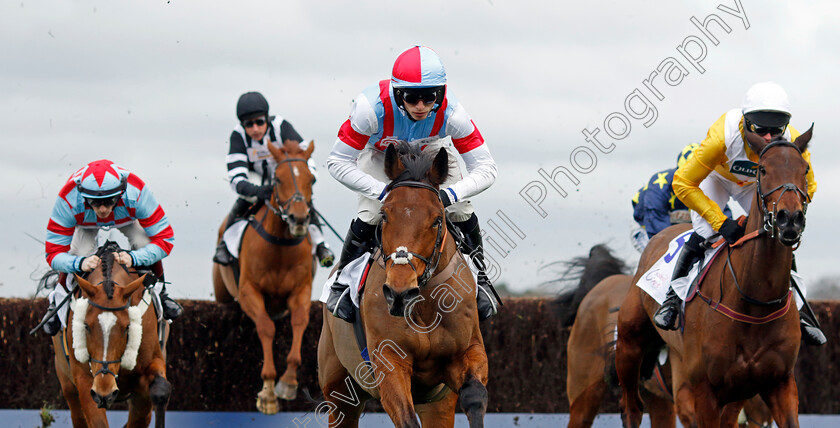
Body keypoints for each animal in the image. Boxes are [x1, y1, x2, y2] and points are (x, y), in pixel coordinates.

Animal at [52, 241, 171, 428]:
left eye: (127, 327)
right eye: (86, 326)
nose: (105, 391)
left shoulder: (149, 368)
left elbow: (160, 391)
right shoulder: (85, 380)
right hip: (66, 381)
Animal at [212, 142, 316, 412]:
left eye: (311, 179)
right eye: (277, 179)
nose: (299, 218)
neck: (280, 247)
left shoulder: (301, 290)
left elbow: (300, 321)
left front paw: (288, 381)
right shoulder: (249, 291)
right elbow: (266, 327)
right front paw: (268, 391)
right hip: (222, 291)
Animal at [318, 144, 488, 428]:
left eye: (437, 219)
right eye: (385, 215)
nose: (399, 293)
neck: (426, 305)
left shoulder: (467, 354)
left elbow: (475, 396)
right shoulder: (390, 365)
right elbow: (406, 418)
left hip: (438, 405)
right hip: (338, 392)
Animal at [616, 128, 812, 428]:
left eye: (805, 169)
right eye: (763, 169)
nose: (789, 219)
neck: (755, 300)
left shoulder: (778, 383)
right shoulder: (704, 390)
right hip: (629, 341)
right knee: (631, 408)